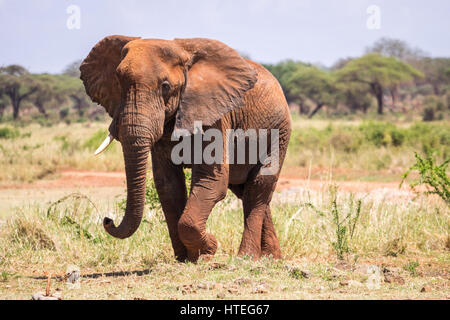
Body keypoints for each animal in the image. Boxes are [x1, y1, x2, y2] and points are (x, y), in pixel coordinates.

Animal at [80, 35, 292, 262]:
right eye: (119, 83)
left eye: (165, 86)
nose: (107, 219)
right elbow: (168, 185)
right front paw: (185, 258)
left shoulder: (215, 116)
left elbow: (212, 180)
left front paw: (208, 249)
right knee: (247, 190)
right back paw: (271, 257)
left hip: (279, 131)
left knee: (259, 184)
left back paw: (247, 257)